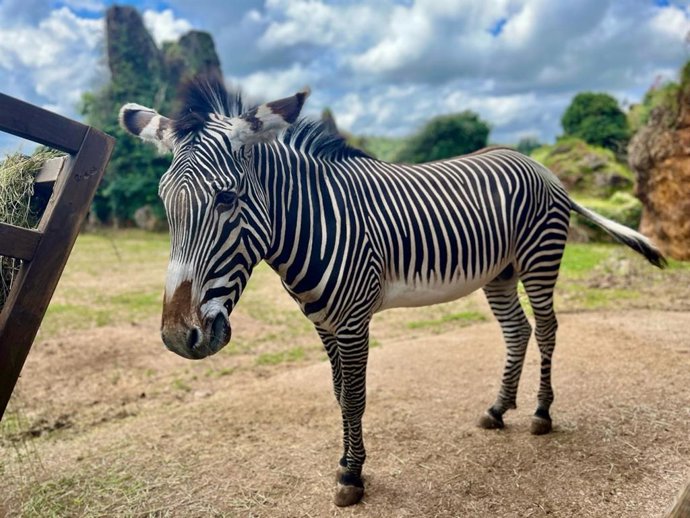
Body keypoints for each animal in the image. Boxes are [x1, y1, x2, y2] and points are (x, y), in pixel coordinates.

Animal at [120, 75, 666, 507]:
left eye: (227, 198)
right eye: (165, 202)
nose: (178, 338)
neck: (311, 224)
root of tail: (540, 167)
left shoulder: (353, 322)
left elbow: (355, 398)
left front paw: (352, 476)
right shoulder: (323, 323)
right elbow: (339, 394)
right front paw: (346, 461)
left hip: (540, 258)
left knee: (548, 328)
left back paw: (541, 413)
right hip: (500, 272)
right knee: (518, 331)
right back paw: (498, 409)